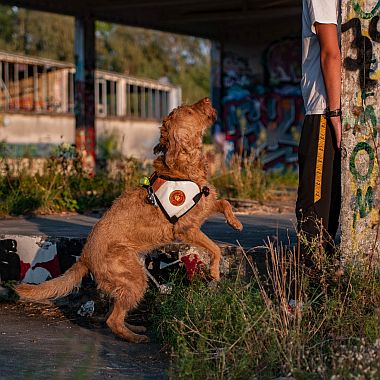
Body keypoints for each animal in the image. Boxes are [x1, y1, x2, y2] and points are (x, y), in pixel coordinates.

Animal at [15, 96, 243, 342]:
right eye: (190, 111)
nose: (208, 99)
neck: (183, 165)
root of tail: (85, 256)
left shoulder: (206, 205)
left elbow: (225, 203)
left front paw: (235, 222)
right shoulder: (186, 229)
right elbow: (215, 248)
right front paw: (214, 271)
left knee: (115, 311)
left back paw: (134, 328)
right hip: (134, 278)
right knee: (112, 319)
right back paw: (134, 337)